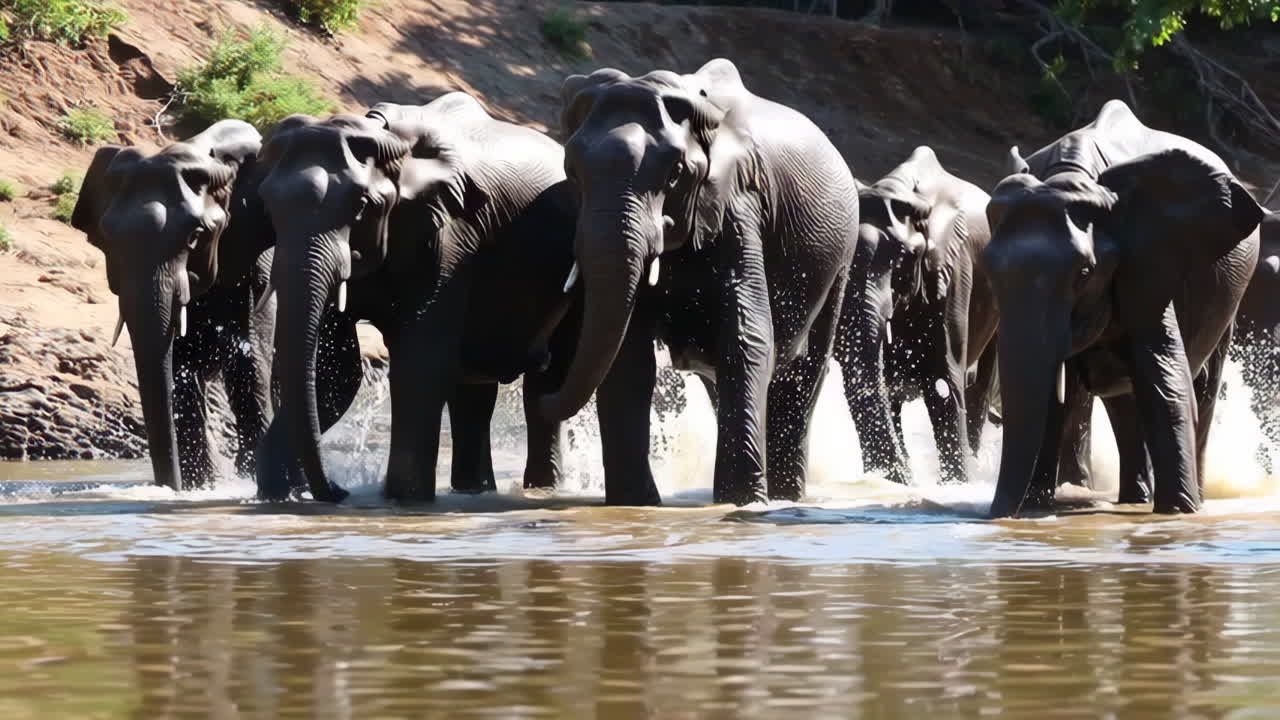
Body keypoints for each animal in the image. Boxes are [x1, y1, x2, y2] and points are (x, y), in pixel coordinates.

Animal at [71, 120, 276, 490]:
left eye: (195, 237)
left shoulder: (255, 263)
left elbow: (249, 364)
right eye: (107, 241)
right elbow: (179, 368)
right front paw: (203, 484)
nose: (170, 486)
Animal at [254, 93, 579, 503]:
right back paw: (474, 492)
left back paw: (539, 489)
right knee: (473, 391)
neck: (385, 137)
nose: (339, 490)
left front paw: (402, 498)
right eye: (268, 207)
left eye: (362, 207)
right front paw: (278, 496)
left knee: (548, 379)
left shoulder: (451, 237)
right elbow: (338, 371)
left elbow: (418, 360)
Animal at [538, 58, 859, 506]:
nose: (543, 391)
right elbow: (628, 357)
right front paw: (635, 505)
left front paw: (743, 502)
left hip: (841, 259)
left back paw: (785, 497)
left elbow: (747, 337)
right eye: (571, 172)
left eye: (675, 174)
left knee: (805, 375)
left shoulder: (740, 201)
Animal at [834, 147, 998, 485]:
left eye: (904, 261)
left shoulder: (952, 275)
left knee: (978, 391)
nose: (908, 480)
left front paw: (955, 485)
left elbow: (944, 386)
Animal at [982, 100, 1264, 518]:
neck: (1072, 173)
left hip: (1231, 294)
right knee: (1124, 401)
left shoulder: (1148, 258)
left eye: (1084, 274)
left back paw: (1187, 500)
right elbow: (1057, 397)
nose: (998, 515)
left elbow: (1164, 374)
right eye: (988, 272)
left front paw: (1179, 513)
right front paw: (1035, 508)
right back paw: (1135, 499)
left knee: (1201, 387)